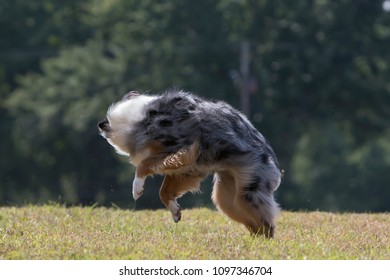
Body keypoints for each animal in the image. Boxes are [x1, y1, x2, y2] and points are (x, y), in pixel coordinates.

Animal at [97, 88, 280, 237]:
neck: (139, 119)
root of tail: (274, 161)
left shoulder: (185, 149)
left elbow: (144, 165)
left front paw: (137, 189)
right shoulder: (189, 167)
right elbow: (164, 191)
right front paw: (175, 211)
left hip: (249, 192)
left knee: (267, 225)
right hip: (226, 198)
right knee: (253, 223)